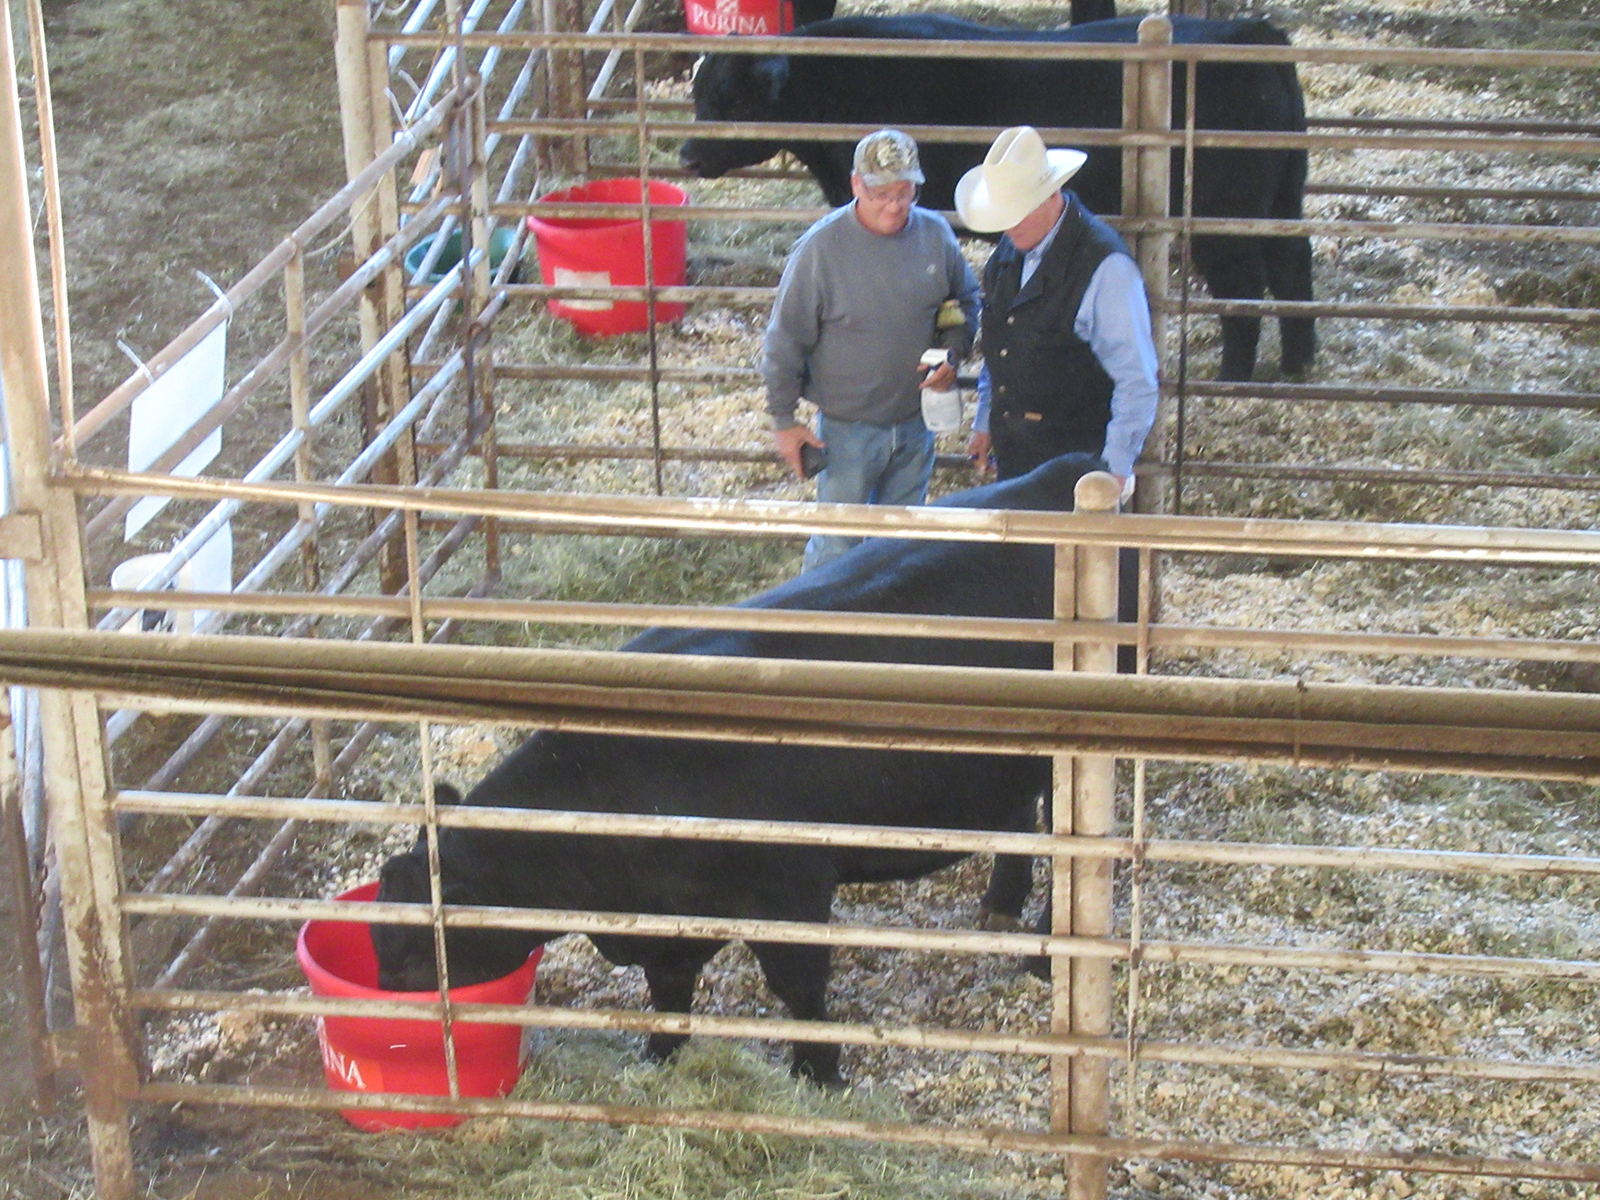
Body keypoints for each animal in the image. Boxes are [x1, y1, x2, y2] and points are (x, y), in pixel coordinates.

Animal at [371, 454, 1113, 1088]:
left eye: (410, 957)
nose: (389, 1026)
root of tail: (1061, 470)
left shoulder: (790, 891)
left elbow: (799, 986)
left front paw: (819, 1074)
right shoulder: (669, 922)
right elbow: (669, 991)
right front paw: (659, 1057)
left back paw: (1043, 953)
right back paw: (1001, 908)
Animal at [681, 14, 1318, 380]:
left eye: (735, 100)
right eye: (699, 92)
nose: (686, 154)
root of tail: (1252, 32)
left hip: (1225, 215)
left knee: (1244, 287)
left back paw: (1235, 376)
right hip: (1282, 200)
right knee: (1294, 263)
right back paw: (1297, 363)